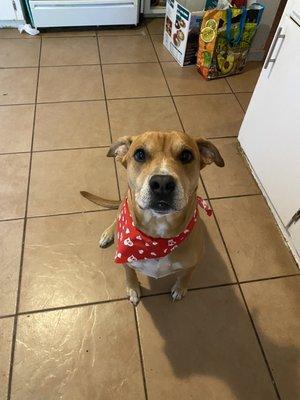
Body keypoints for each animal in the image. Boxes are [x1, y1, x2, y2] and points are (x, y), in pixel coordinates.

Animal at [81, 130, 224, 304]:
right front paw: (132, 288)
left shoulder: (194, 262)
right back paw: (109, 233)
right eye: (140, 154)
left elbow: (186, 276)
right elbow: (130, 273)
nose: (162, 183)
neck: (156, 240)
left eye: (186, 155)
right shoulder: (126, 260)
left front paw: (180, 288)